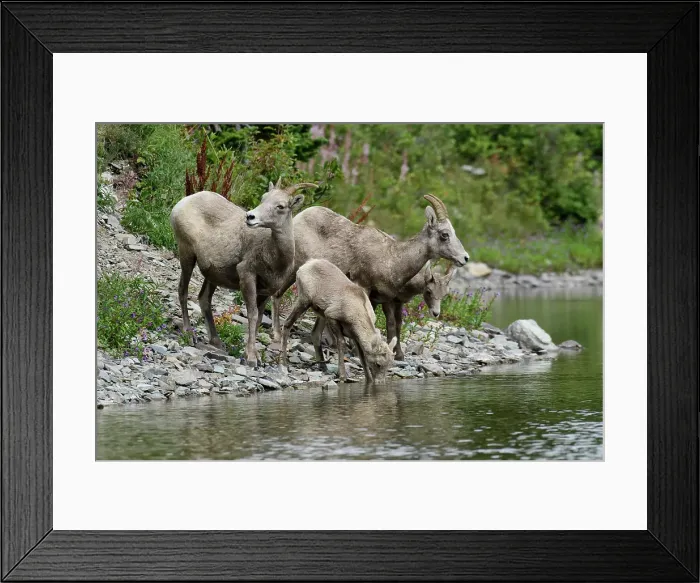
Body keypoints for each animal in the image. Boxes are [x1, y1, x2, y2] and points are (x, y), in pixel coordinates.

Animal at [169, 179, 316, 366]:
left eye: (281, 206)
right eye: (263, 198)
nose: (250, 217)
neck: (274, 256)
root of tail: (185, 201)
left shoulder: (266, 291)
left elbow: (259, 318)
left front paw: (253, 355)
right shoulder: (247, 276)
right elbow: (252, 315)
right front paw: (252, 358)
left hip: (212, 274)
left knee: (204, 299)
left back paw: (216, 341)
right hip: (187, 254)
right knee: (183, 290)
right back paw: (190, 334)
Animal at [270, 194, 469, 344]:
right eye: (444, 235)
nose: (465, 258)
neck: (392, 258)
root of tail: (300, 216)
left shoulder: (378, 299)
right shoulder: (364, 287)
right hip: (294, 267)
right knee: (277, 294)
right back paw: (276, 333)